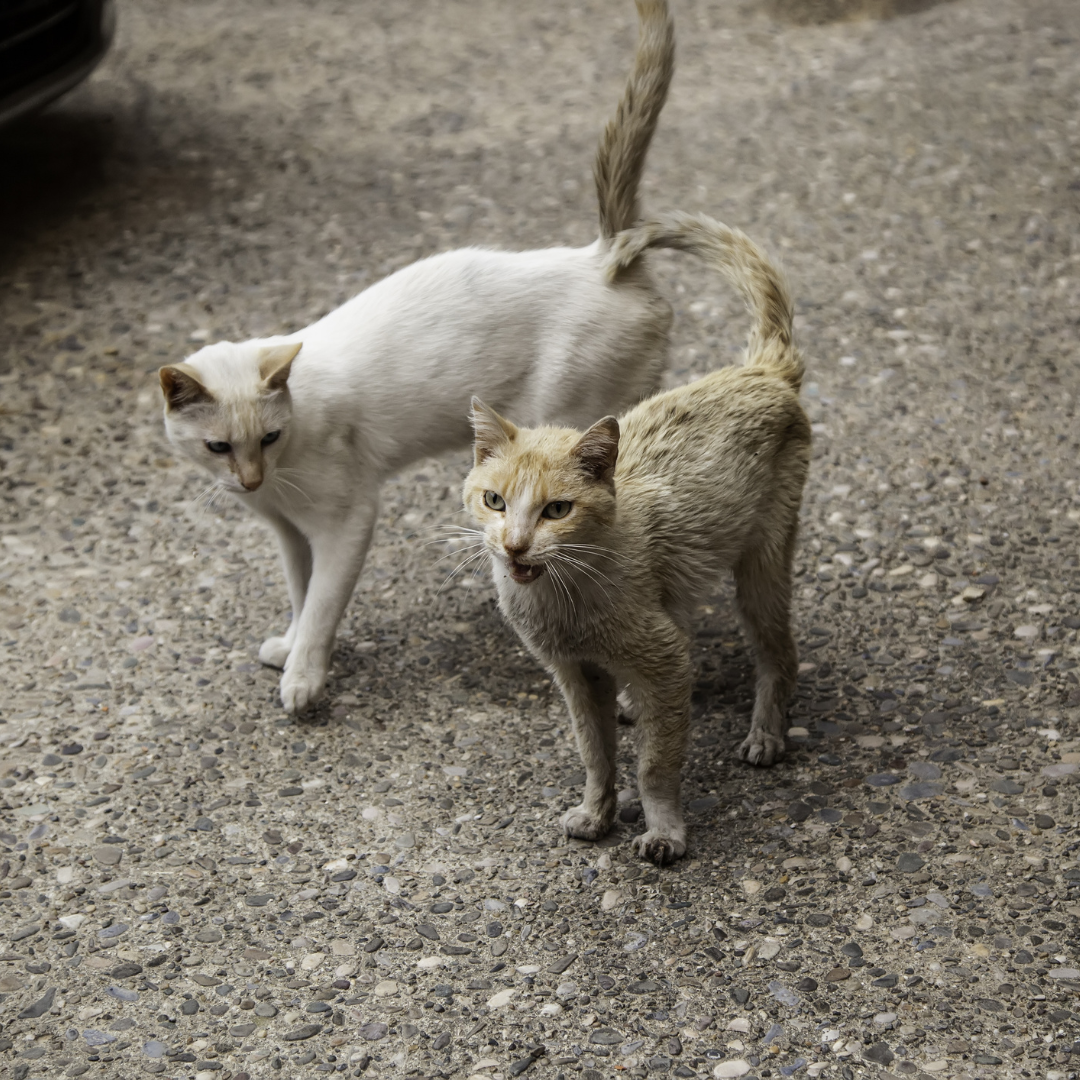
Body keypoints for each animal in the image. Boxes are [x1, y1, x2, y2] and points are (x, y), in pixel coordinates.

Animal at [159, 2, 678, 717]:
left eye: (269, 438)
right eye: (218, 449)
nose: (250, 480)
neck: (281, 479)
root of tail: (601, 256)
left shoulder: (346, 523)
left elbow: (322, 607)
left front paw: (303, 677)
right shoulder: (288, 532)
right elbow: (299, 593)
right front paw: (287, 647)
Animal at [464, 214, 812, 864]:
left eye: (557, 510)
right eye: (493, 501)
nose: (516, 546)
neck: (565, 601)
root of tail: (759, 369)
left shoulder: (665, 660)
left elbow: (655, 764)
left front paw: (664, 831)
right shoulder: (574, 676)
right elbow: (595, 754)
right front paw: (597, 813)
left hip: (763, 566)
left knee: (780, 655)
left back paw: (766, 734)